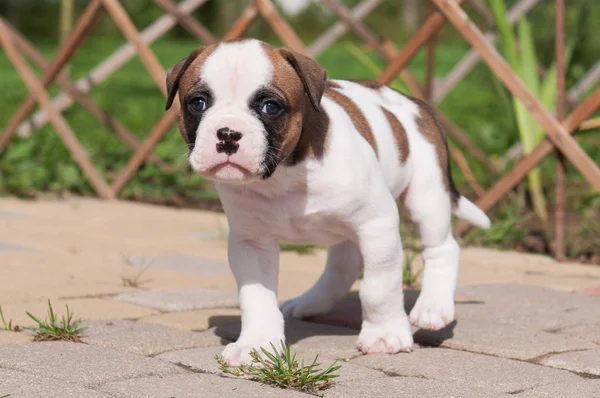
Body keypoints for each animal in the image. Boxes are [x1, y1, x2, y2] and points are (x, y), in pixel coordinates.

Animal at [164, 38, 488, 366]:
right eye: (197, 103)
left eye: (271, 106)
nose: (228, 134)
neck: (286, 173)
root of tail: (414, 102)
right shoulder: (251, 243)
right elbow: (256, 296)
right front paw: (256, 344)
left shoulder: (377, 225)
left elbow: (378, 288)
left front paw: (384, 335)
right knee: (343, 265)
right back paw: (312, 301)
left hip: (427, 194)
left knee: (441, 248)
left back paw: (432, 307)